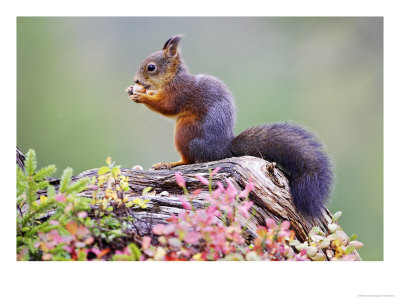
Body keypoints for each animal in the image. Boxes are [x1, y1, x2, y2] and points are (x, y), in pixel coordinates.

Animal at [126, 35, 334, 217]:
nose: (136, 81)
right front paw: (133, 90)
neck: (173, 78)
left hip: (185, 132)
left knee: (190, 160)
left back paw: (171, 163)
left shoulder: (179, 92)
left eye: (151, 67)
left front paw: (141, 95)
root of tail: (223, 150)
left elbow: (166, 106)